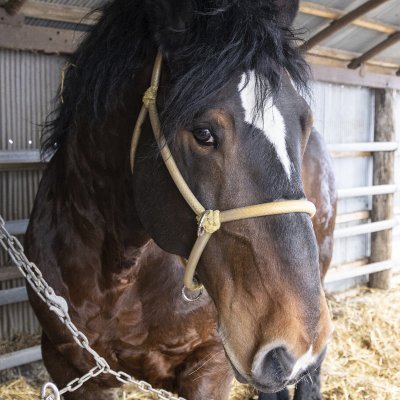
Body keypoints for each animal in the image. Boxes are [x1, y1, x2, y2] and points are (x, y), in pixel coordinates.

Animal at [25, 0, 336, 400]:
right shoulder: (70, 366)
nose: (297, 344)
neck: (117, 273)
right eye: (203, 133)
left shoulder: (210, 367)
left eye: (304, 123)